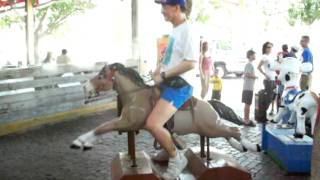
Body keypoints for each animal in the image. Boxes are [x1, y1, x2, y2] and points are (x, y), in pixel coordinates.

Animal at [70, 63, 260, 153]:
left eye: (101, 76)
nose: (85, 87)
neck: (136, 97)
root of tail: (208, 103)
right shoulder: (125, 121)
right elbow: (103, 127)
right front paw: (86, 142)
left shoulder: (129, 122)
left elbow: (103, 126)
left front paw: (79, 141)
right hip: (211, 127)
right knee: (229, 132)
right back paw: (240, 147)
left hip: (211, 127)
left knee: (234, 130)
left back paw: (251, 146)